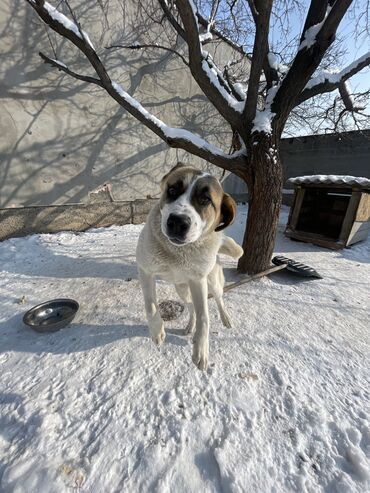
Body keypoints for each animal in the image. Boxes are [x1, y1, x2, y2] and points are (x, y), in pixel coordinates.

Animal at [136, 164, 243, 368]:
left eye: (205, 199)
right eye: (172, 190)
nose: (177, 222)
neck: (178, 253)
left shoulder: (198, 281)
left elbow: (204, 317)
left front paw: (201, 349)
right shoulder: (145, 271)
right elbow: (150, 305)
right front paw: (157, 331)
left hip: (212, 281)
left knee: (218, 298)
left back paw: (225, 318)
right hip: (181, 289)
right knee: (191, 306)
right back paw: (189, 326)